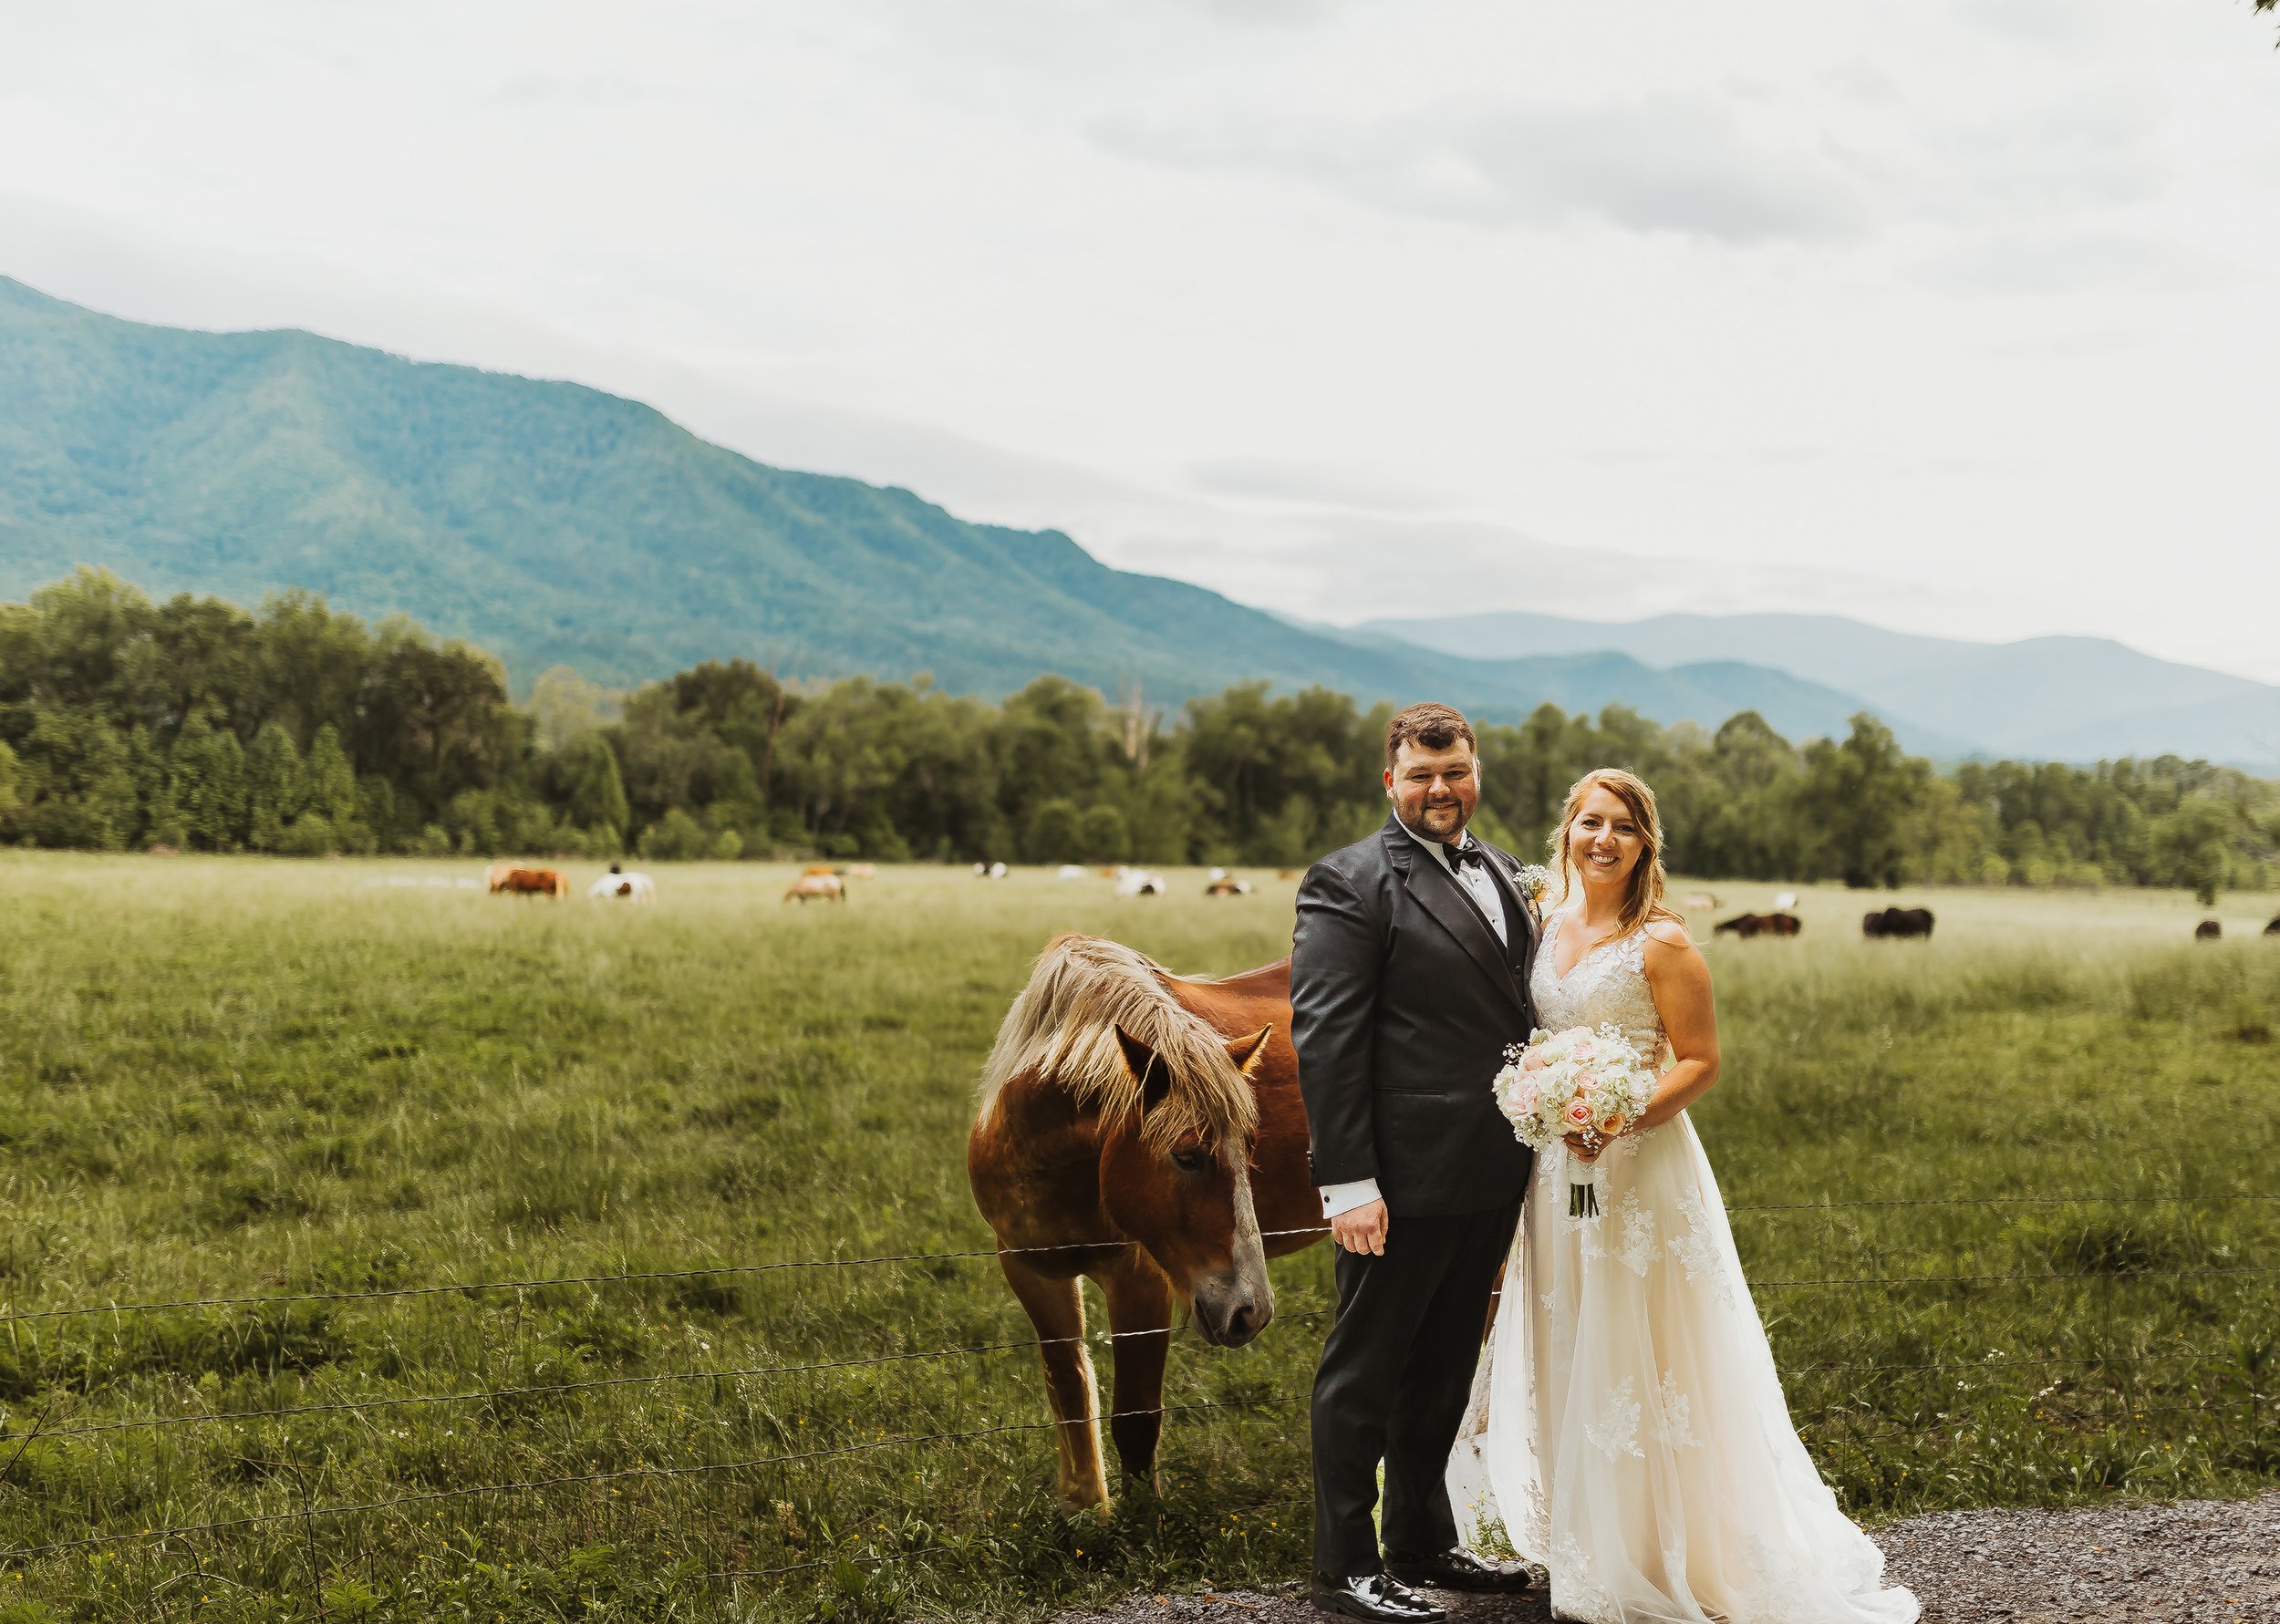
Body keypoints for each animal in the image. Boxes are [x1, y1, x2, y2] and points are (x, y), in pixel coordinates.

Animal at [962, 930, 1322, 1514]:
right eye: (1187, 1156)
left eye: (1249, 1149)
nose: (1253, 1312)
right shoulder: (1030, 1270)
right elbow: (1068, 1386)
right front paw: (1085, 1509)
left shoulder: (1140, 1281)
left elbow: (1135, 1418)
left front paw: (1142, 1524)